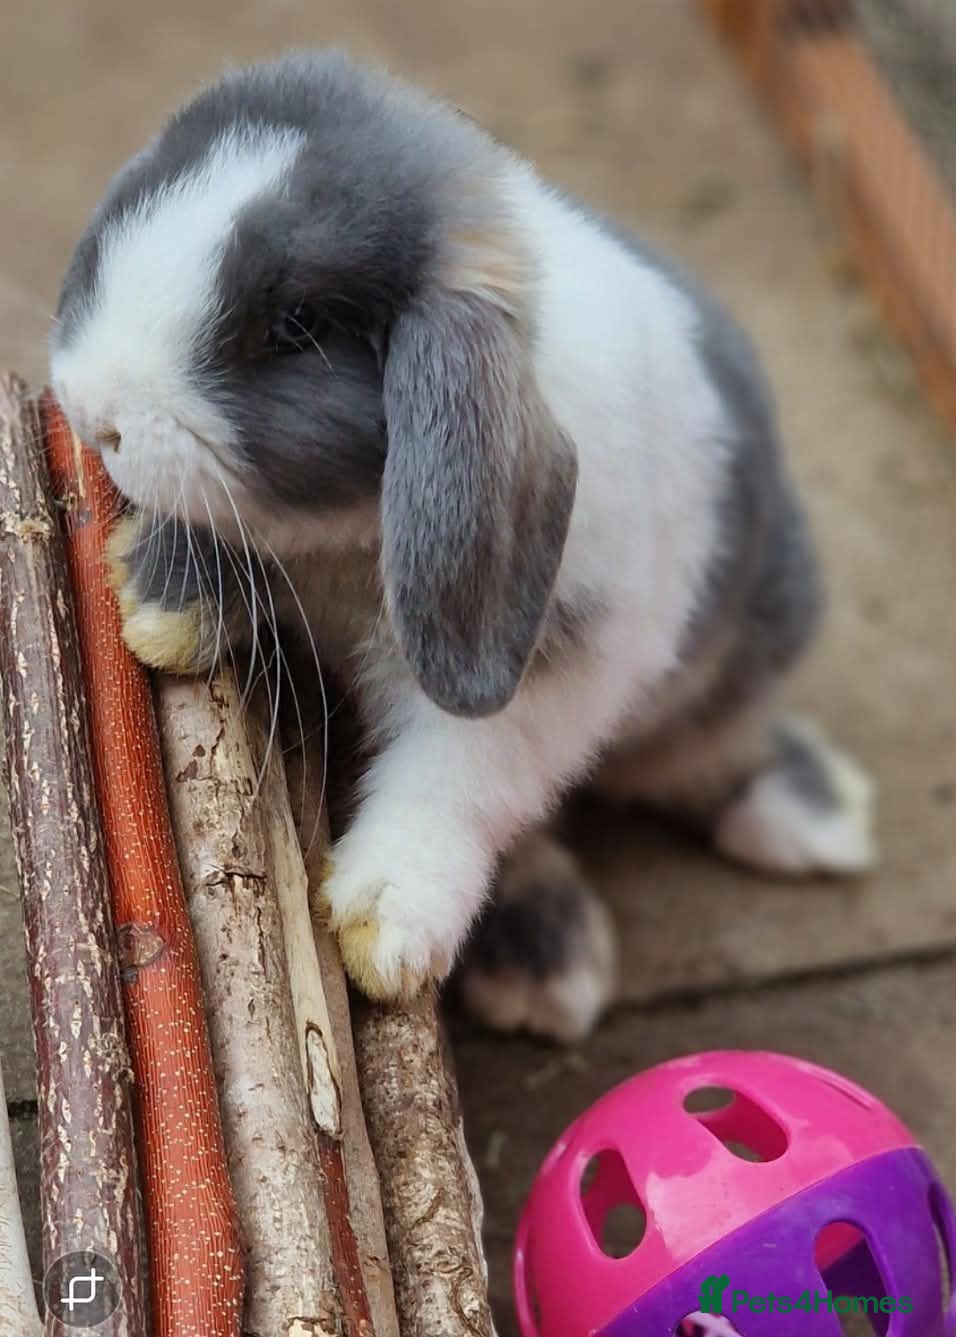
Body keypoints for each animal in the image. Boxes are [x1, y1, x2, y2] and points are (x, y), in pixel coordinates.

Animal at [50, 50, 876, 1040]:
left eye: (296, 327)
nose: (94, 409)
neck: (348, 549)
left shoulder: (549, 675)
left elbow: (457, 779)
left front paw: (385, 929)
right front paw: (160, 600)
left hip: (740, 649)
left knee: (702, 752)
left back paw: (797, 819)